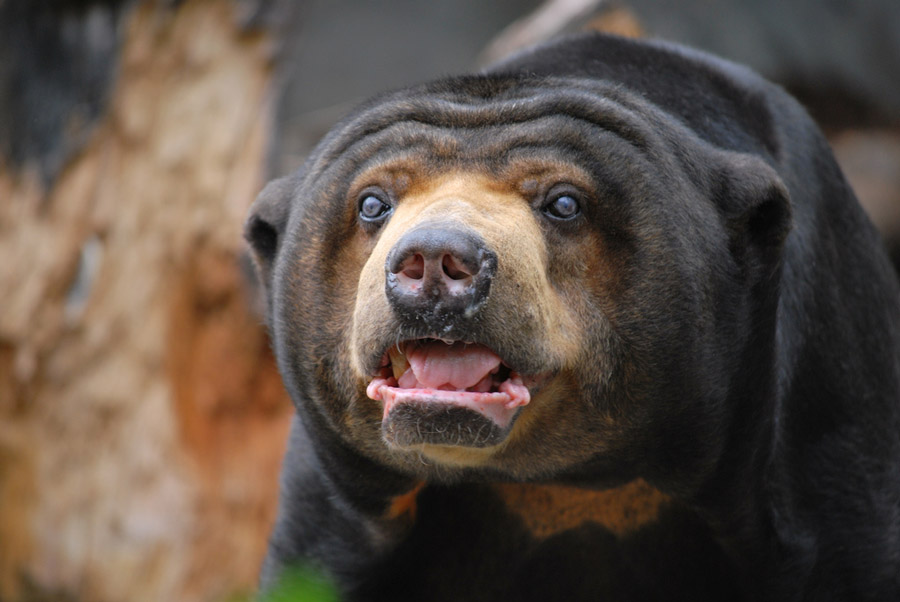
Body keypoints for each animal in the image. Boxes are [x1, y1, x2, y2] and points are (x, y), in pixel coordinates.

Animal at [243, 34, 900, 600]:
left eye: (564, 203)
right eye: (372, 204)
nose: (434, 260)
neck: (560, 488)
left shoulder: (822, 424)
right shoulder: (333, 508)